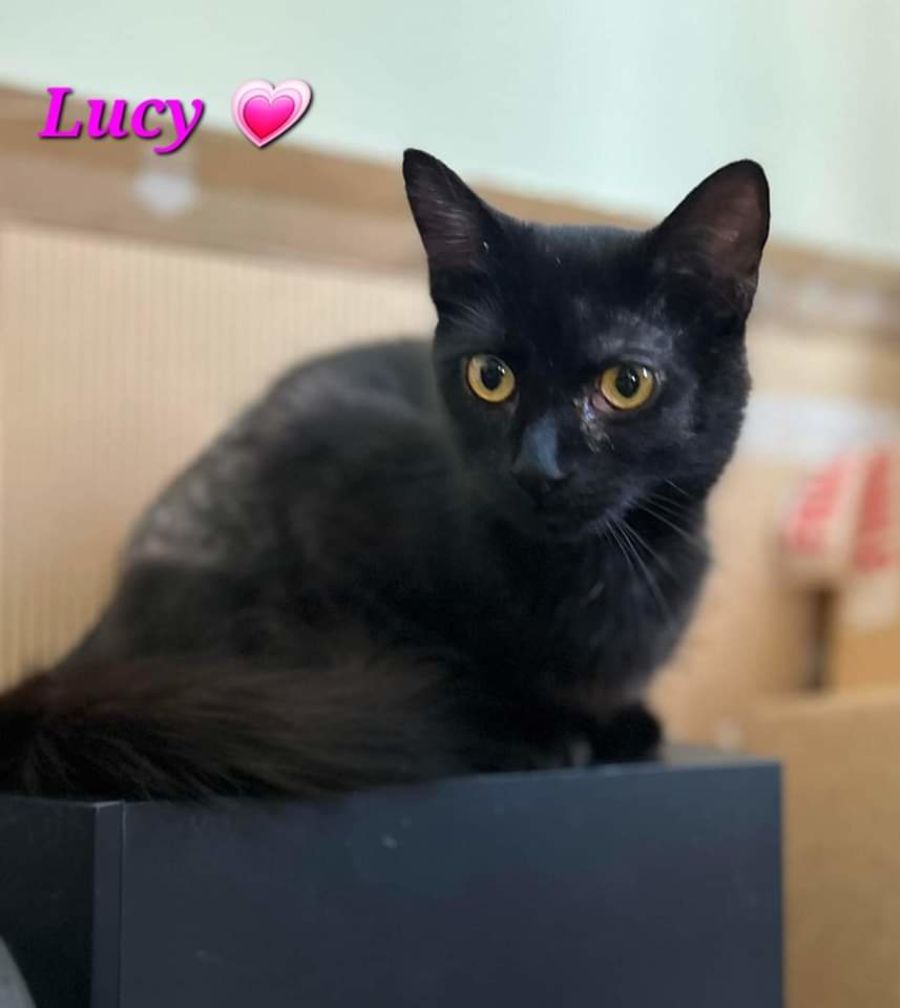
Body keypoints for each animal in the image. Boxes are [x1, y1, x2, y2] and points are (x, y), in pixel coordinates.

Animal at [0, 149, 769, 799]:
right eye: (490, 376)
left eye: (627, 384)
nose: (537, 465)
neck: (596, 577)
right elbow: (422, 656)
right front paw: (528, 730)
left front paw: (617, 723)